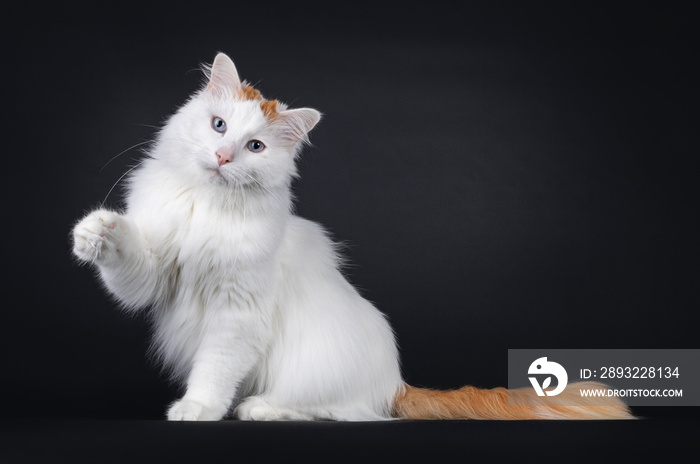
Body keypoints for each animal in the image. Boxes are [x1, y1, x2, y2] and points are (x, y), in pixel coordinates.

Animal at [74, 53, 632, 420]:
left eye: (254, 147)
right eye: (218, 126)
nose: (224, 157)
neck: (207, 207)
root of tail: (396, 382)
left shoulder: (237, 315)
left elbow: (213, 370)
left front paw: (197, 408)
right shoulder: (157, 272)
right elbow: (128, 259)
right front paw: (94, 231)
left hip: (314, 367)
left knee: (337, 410)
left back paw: (261, 408)